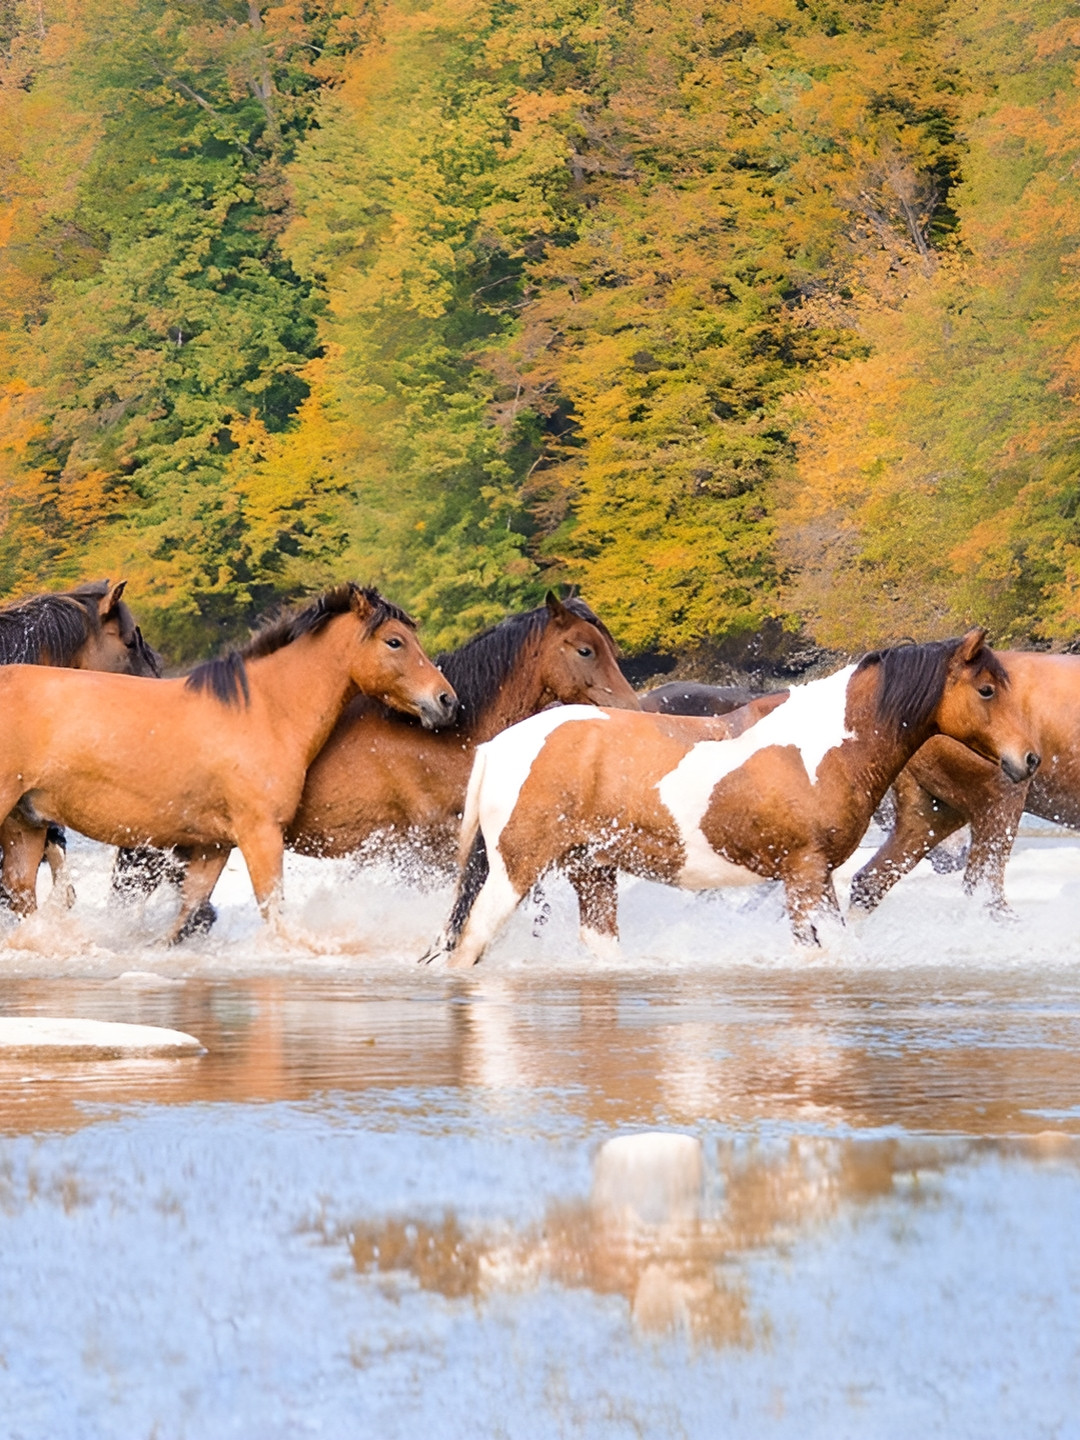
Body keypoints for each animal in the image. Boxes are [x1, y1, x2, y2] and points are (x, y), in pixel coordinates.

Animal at [0, 584, 457, 943]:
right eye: (395, 642)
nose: (446, 700)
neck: (263, 712)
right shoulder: (261, 834)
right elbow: (273, 910)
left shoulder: (214, 845)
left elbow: (186, 918)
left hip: (27, 825)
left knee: (22, 894)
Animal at [426, 631, 1038, 965]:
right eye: (987, 690)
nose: (1028, 759)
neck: (820, 746)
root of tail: (498, 746)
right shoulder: (804, 874)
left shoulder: (816, 878)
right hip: (517, 871)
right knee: (471, 942)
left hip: (591, 871)